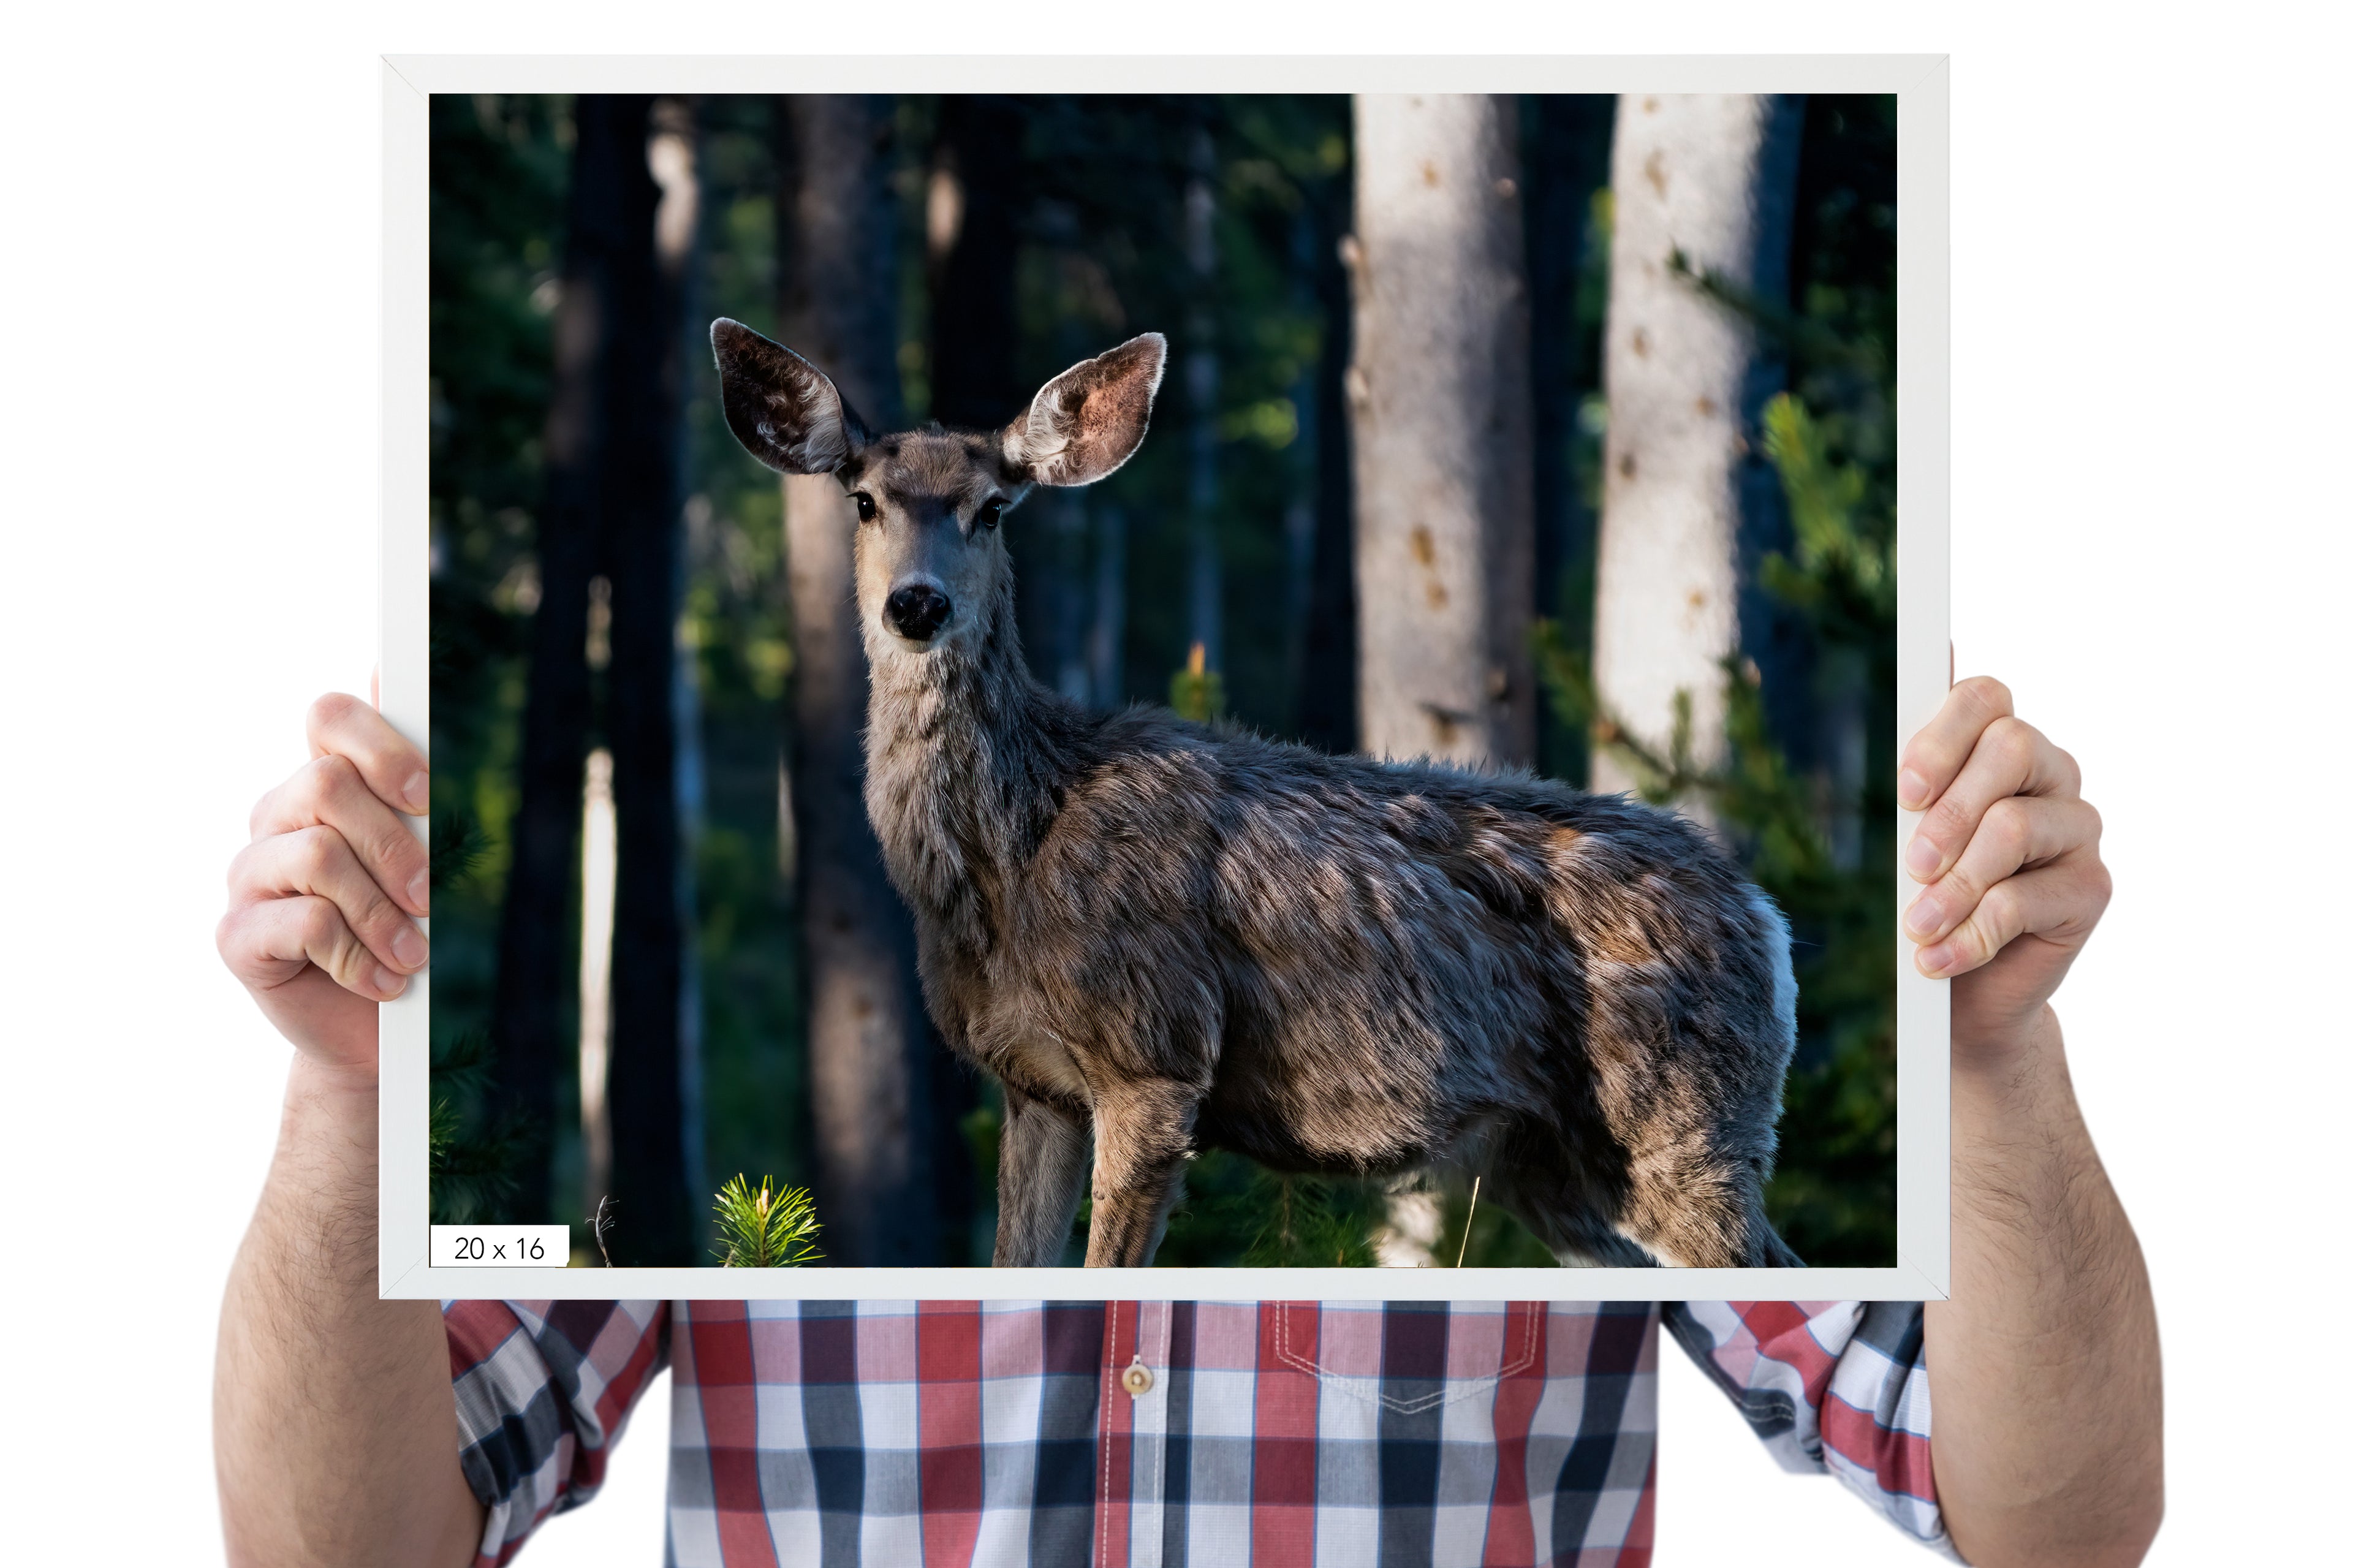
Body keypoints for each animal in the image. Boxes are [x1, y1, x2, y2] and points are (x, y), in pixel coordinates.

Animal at [710, 317, 1804, 1270]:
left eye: (992, 506)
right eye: (863, 499)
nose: (917, 603)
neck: (1008, 855)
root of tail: (1767, 917)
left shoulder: (1156, 1054)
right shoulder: (1033, 1084)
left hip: (1686, 1121)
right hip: (1553, 1163)